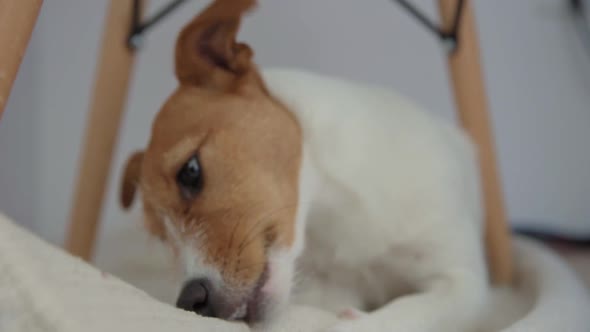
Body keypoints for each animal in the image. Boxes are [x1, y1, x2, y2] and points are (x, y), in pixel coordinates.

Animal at [120, 1, 490, 330]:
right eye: (161, 236)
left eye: (190, 171)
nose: (192, 301)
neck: (334, 208)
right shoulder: (332, 289)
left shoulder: (464, 283)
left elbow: (407, 311)